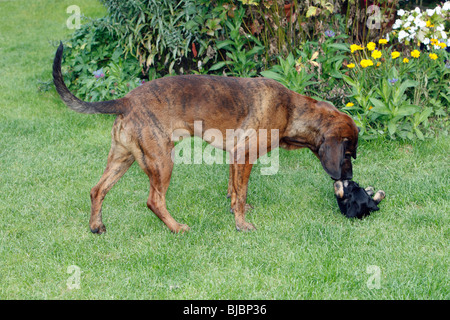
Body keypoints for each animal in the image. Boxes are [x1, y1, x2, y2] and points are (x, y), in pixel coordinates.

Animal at [51, 42, 358, 232]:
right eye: (348, 154)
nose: (349, 179)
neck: (292, 109)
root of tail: (126, 100)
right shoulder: (245, 155)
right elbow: (241, 192)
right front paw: (242, 225)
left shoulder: (235, 157)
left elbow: (235, 191)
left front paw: (237, 211)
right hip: (162, 162)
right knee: (154, 201)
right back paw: (176, 228)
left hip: (122, 158)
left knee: (97, 190)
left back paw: (96, 226)